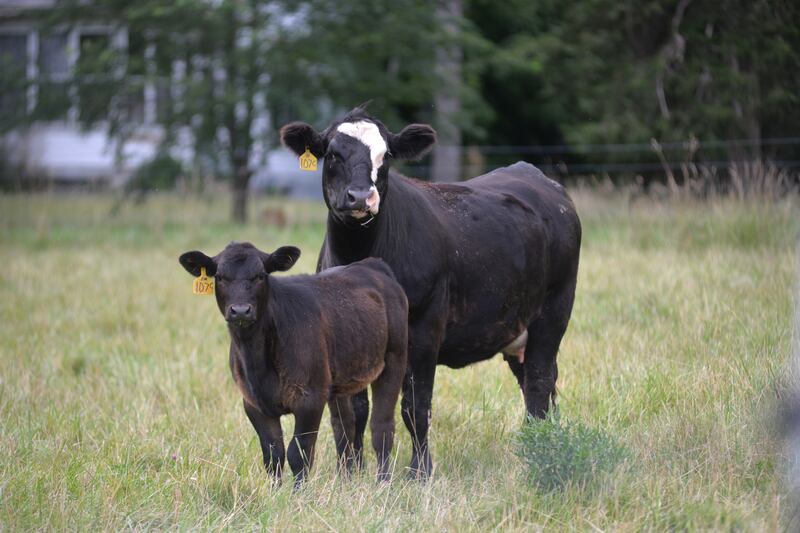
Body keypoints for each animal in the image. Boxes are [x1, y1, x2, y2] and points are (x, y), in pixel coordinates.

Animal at [179, 242, 408, 487]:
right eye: (220, 277)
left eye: (260, 275)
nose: (240, 310)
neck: (258, 363)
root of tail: (372, 264)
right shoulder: (253, 404)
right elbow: (273, 455)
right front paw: (275, 491)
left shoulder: (310, 398)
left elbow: (299, 453)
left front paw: (299, 492)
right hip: (340, 378)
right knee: (344, 425)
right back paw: (344, 480)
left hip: (394, 359)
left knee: (382, 426)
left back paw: (383, 482)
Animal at [280, 108, 582, 479]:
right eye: (334, 153)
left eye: (386, 156)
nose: (361, 196)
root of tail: (538, 177)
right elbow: (355, 408)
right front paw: (352, 473)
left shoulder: (423, 329)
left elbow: (415, 404)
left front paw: (420, 472)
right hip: (517, 326)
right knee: (539, 383)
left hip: (554, 311)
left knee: (539, 382)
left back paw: (539, 453)